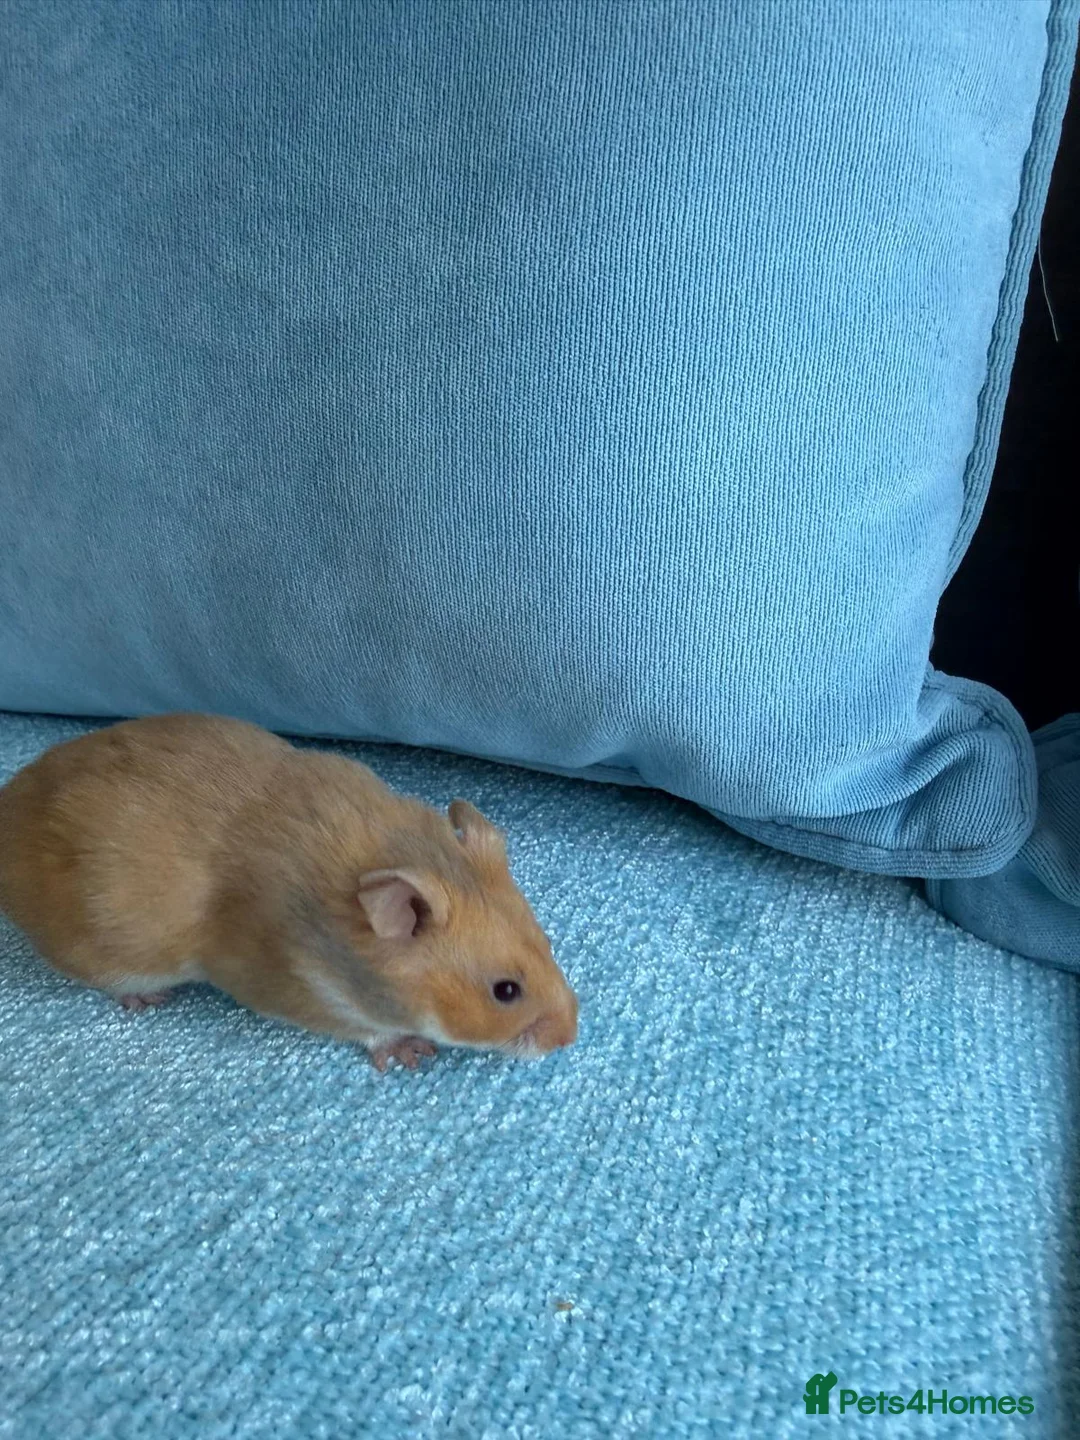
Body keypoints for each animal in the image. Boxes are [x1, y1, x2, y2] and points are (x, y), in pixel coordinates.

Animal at [0, 713, 578, 1070]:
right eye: (506, 991)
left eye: (547, 944)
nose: (570, 1038)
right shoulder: (294, 990)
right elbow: (369, 1032)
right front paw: (412, 1053)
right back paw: (147, 998)